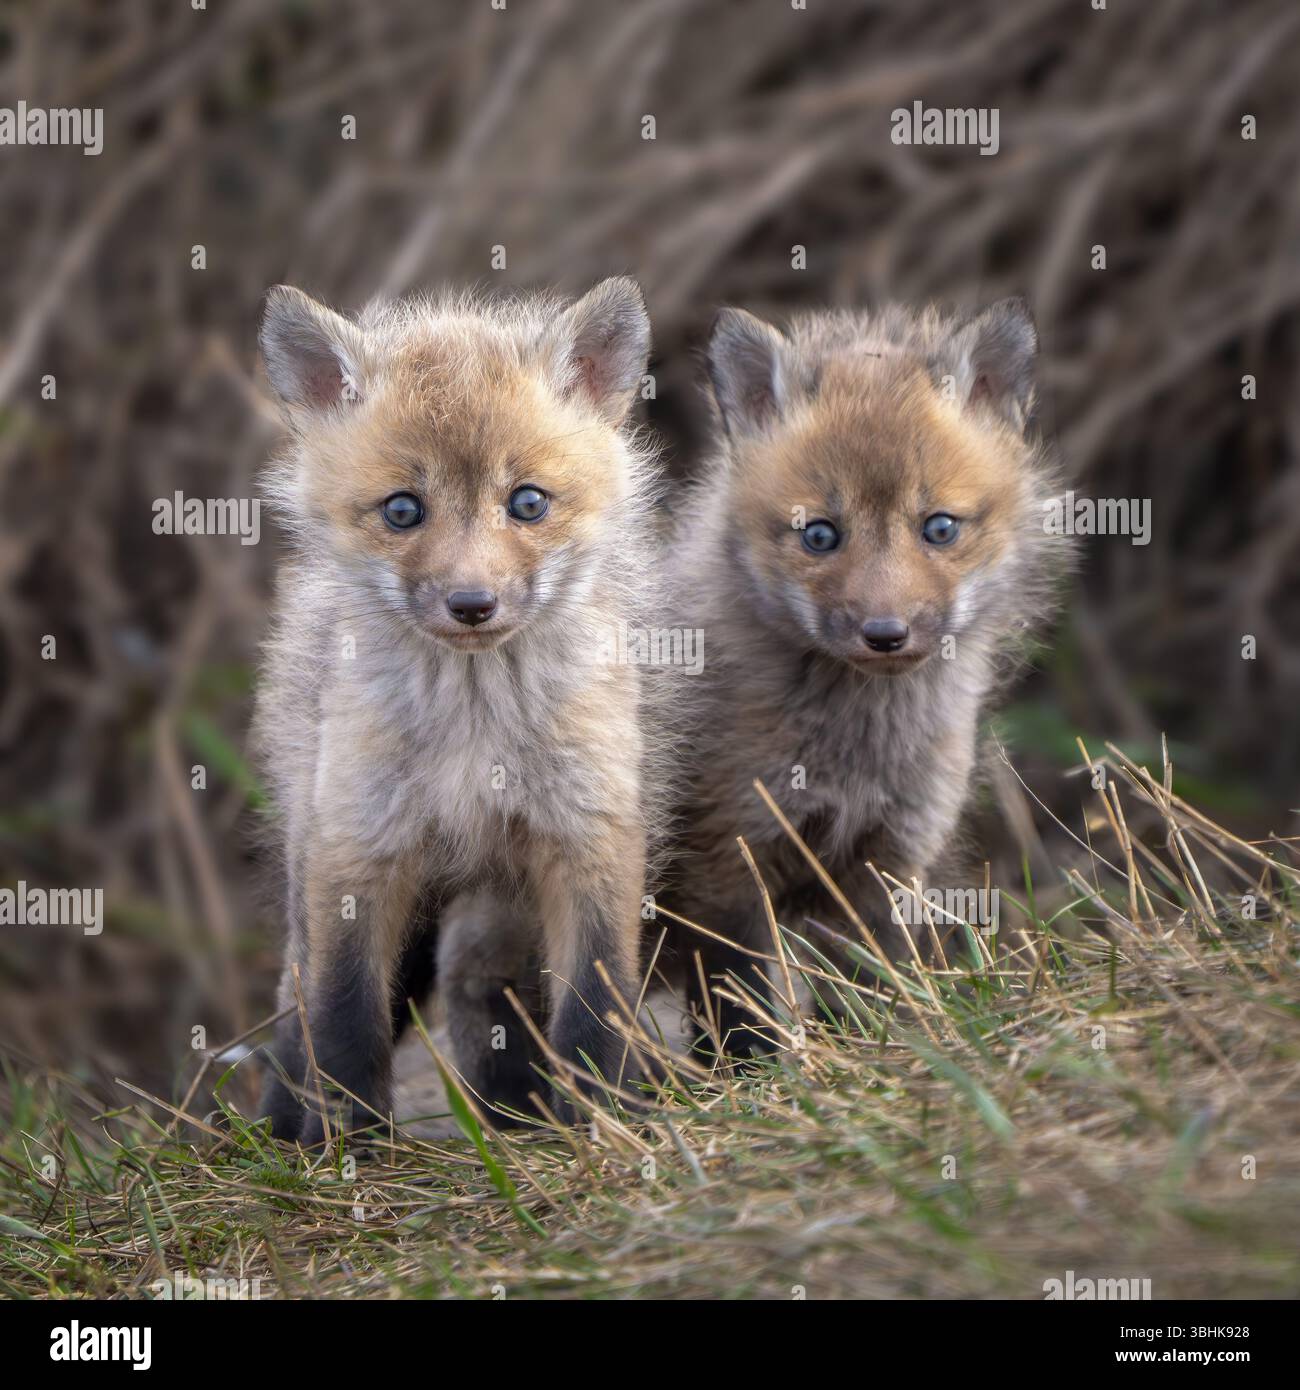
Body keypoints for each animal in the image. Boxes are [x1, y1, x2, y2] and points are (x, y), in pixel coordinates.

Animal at [252, 276, 661, 1141]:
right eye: (403, 510)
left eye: (528, 502)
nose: (472, 604)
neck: (477, 733)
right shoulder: (359, 850)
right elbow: (342, 1019)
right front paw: (345, 1147)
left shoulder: (590, 838)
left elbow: (595, 1008)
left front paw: (603, 1122)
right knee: (294, 1008)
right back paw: (274, 1134)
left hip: (493, 913)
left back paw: (512, 1119)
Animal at [664, 297, 1067, 1050]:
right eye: (821, 535)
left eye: (939, 528)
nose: (886, 635)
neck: (858, 751)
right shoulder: (726, 858)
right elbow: (741, 1010)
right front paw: (756, 1073)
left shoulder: (890, 859)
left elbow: (869, 989)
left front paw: (878, 1050)